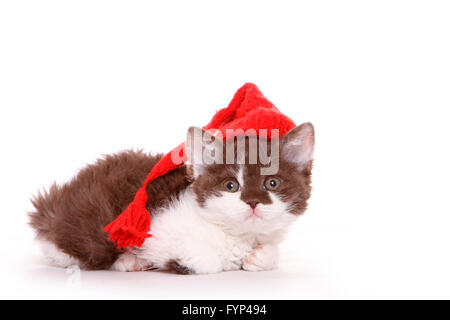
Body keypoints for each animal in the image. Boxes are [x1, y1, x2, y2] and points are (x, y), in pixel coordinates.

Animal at [29, 124, 314, 274]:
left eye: (272, 183)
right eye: (231, 185)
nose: (252, 202)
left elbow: (270, 251)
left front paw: (258, 256)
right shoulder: (156, 224)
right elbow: (205, 261)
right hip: (91, 224)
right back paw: (128, 260)